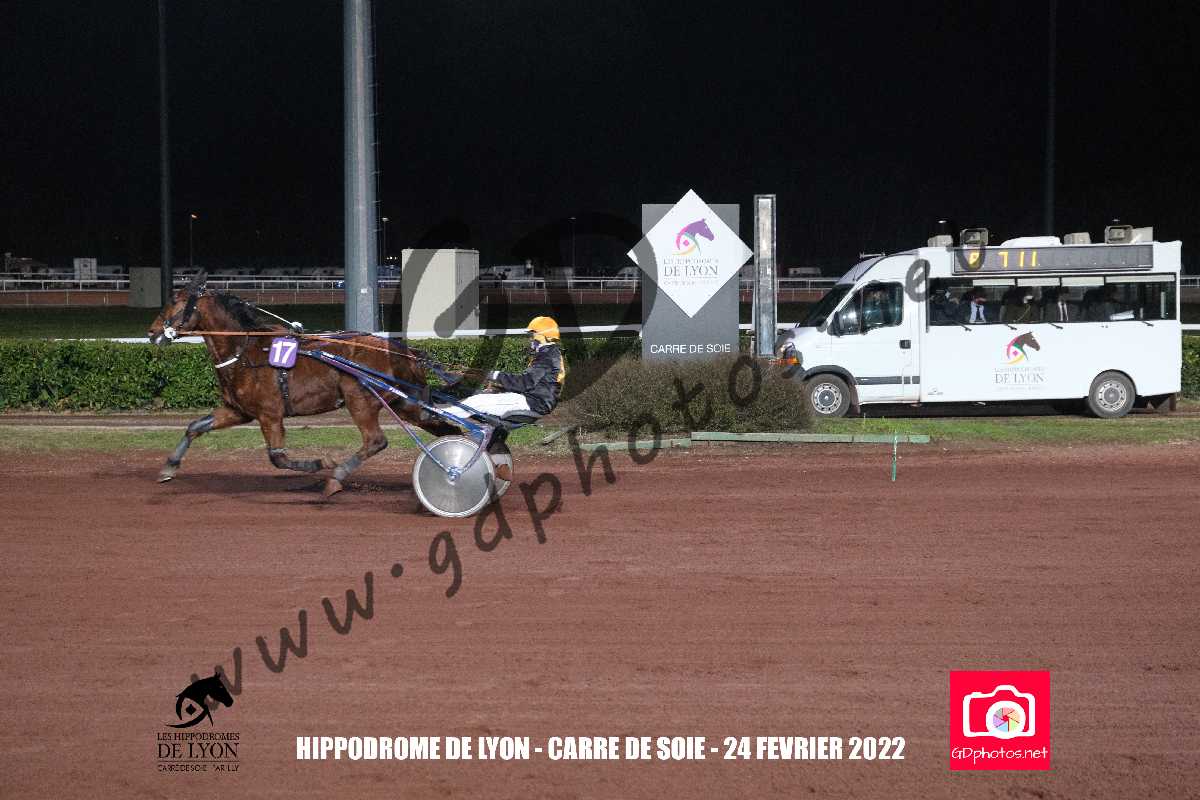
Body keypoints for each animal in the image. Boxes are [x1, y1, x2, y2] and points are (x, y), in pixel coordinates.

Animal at [147, 272, 457, 496]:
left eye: (175, 302)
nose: (151, 332)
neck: (244, 351)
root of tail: (407, 352)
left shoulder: (269, 414)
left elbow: (278, 458)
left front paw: (323, 463)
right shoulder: (239, 411)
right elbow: (195, 426)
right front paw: (168, 467)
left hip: (359, 398)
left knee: (375, 440)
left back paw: (336, 478)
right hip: (404, 402)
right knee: (443, 428)